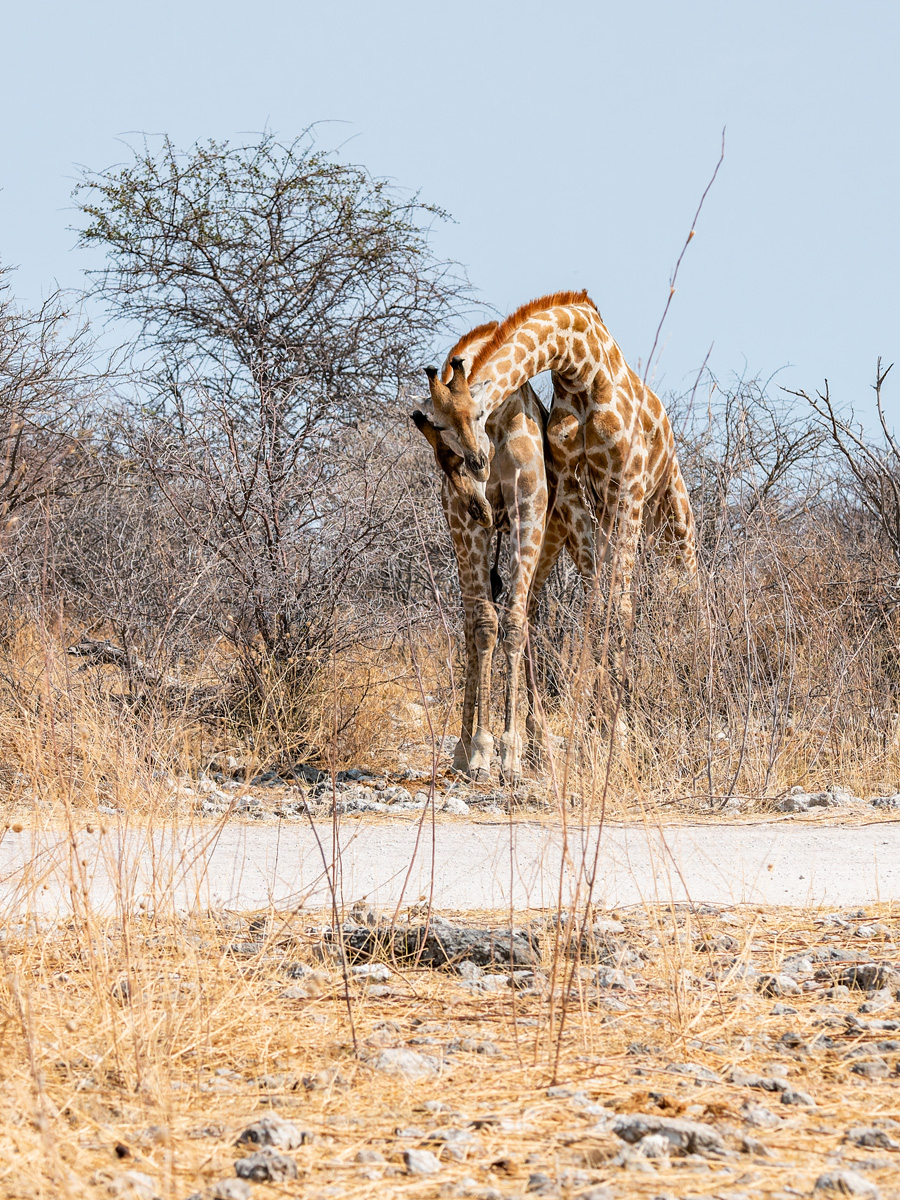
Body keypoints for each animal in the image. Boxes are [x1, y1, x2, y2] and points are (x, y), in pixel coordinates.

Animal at [412, 322, 552, 781]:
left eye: (477, 413)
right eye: (435, 426)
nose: (476, 464)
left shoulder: (529, 507)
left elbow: (514, 620)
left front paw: (509, 751)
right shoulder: (464, 523)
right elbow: (483, 624)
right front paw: (479, 748)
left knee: (528, 614)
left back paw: (538, 742)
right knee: (475, 621)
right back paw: (464, 747)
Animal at [421, 290, 698, 741]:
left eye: (474, 417)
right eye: (437, 447)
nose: (476, 504)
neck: (582, 370)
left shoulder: (626, 485)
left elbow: (618, 606)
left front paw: (614, 726)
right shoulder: (568, 489)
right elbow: (594, 604)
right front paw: (598, 722)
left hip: (670, 515)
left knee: (689, 592)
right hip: (589, 521)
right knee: (528, 609)